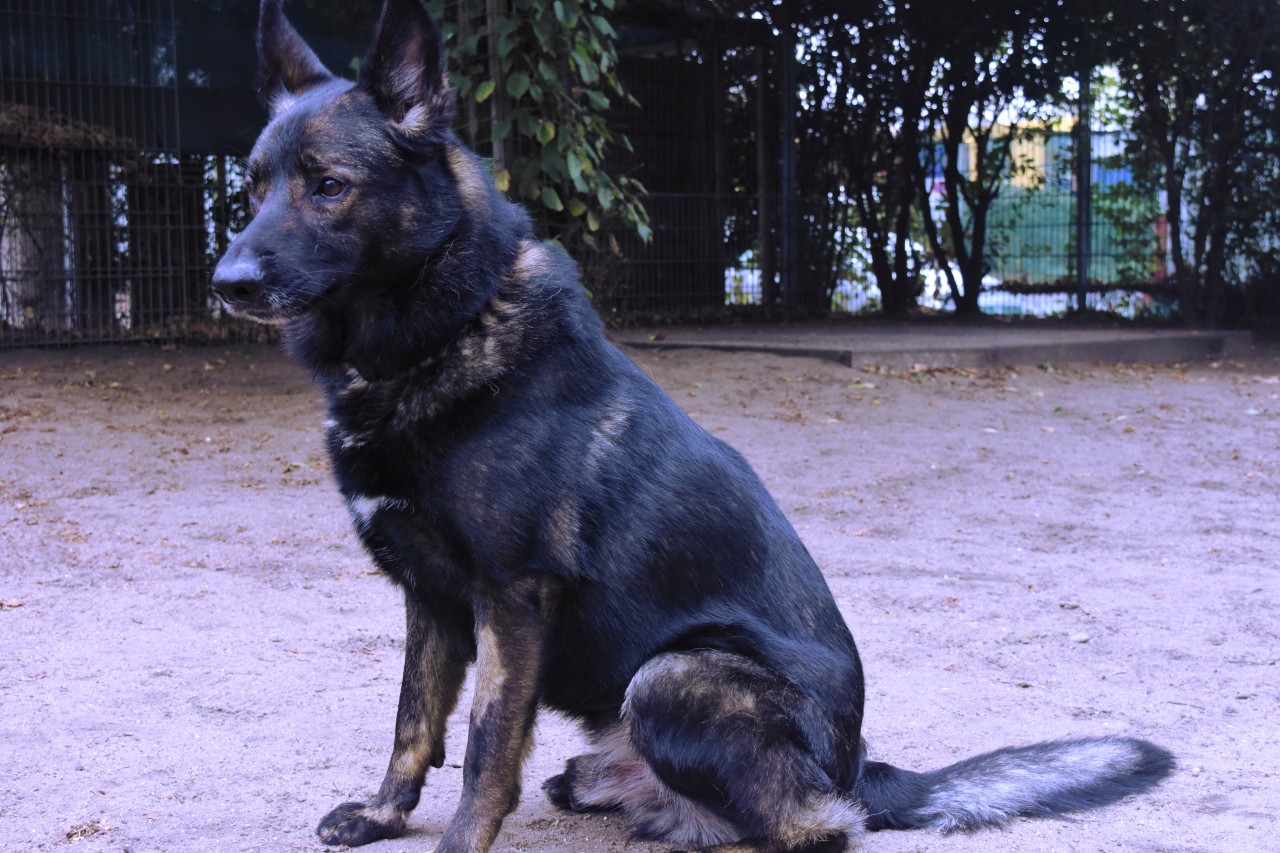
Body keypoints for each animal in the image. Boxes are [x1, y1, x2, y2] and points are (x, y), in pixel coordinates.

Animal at [212, 3, 1177, 845]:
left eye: (328, 187)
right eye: (252, 189)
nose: (226, 282)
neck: (443, 332)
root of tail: (860, 765)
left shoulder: (510, 602)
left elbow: (485, 750)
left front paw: (455, 843)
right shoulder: (431, 598)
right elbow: (413, 719)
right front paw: (383, 815)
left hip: (671, 675)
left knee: (813, 827)